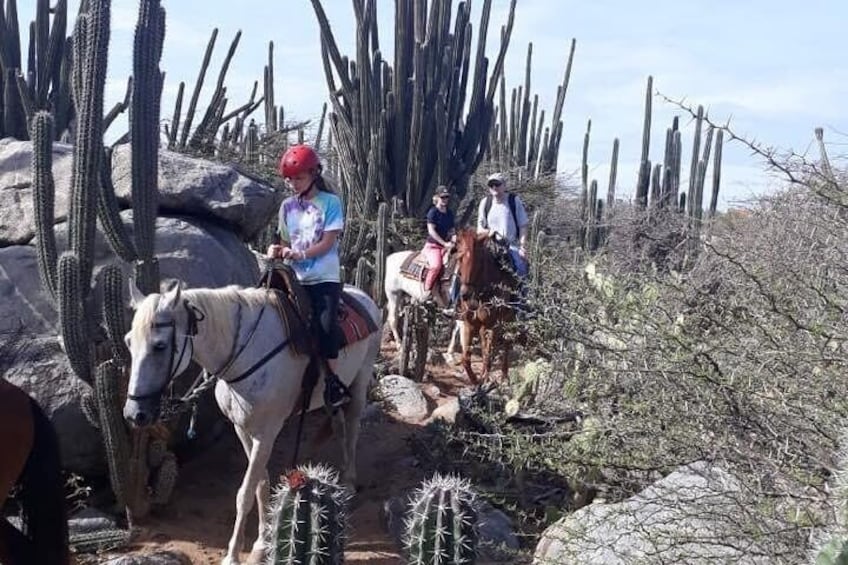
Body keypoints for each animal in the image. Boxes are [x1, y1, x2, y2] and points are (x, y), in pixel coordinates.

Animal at [121, 280, 380, 560]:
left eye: (159, 346)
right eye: (129, 342)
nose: (134, 413)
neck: (247, 353)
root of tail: (364, 296)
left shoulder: (266, 433)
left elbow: (244, 493)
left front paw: (233, 555)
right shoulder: (243, 429)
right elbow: (260, 485)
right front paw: (261, 543)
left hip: (360, 382)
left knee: (352, 428)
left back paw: (349, 484)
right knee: (340, 427)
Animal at [454, 228, 520, 384]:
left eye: (478, 260)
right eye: (459, 258)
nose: (465, 294)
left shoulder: (491, 325)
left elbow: (488, 355)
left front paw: (484, 379)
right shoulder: (469, 324)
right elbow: (466, 358)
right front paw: (475, 380)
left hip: (508, 320)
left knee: (506, 344)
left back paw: (504, 376)